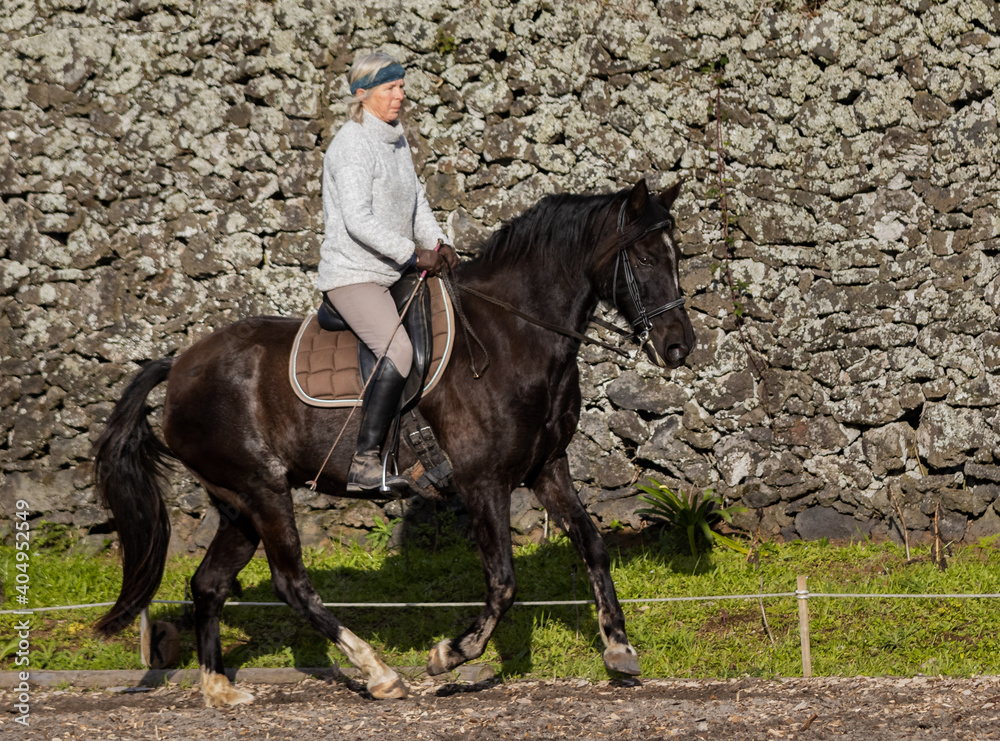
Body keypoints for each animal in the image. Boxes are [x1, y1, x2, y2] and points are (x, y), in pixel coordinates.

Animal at [92, 178, 695, 707]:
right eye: (645, 259)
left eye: (676, 255)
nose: (679, 347)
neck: (511, 336)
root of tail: (179, 365)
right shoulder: (483, 481)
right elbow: (503, 581)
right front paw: (450, 654)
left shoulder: (547, 468)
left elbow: (592, 544)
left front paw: (619, 649)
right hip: (263, 492)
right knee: (291, 583)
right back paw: (379, 672)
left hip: (237, 505)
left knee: (209, 584)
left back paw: (220, 688)